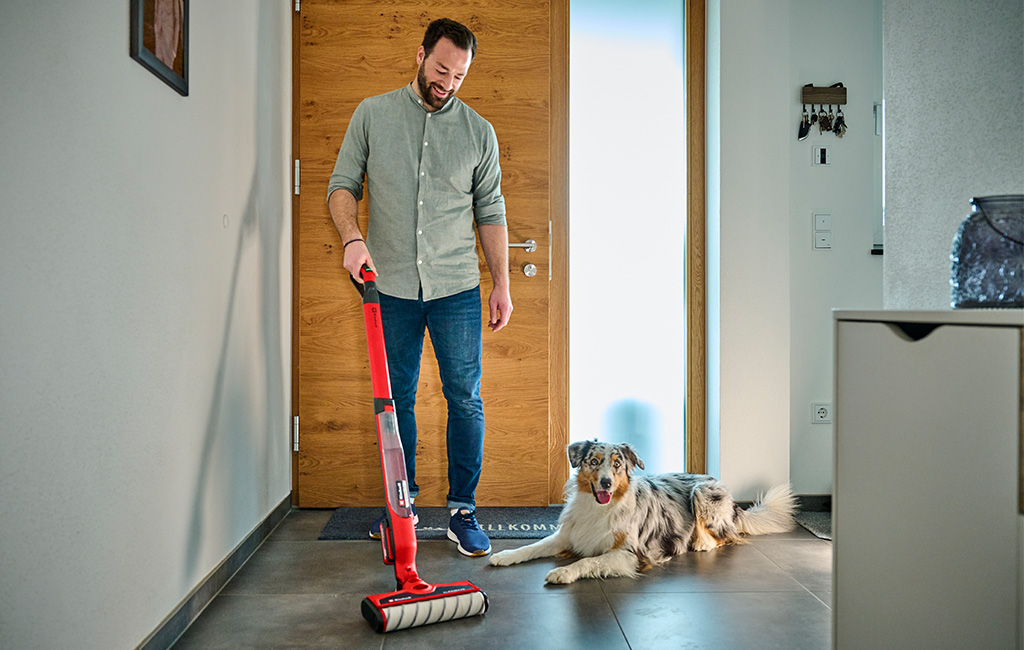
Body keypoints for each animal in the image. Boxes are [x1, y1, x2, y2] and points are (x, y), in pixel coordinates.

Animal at [487, 442, 798, 585]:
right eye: (593, 461)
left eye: (617, 464)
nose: (606, 483)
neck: (600, 508)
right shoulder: (567, 536)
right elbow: (533, 546)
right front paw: (505, 555)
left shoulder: (631, 554)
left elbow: (589, 561)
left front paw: (563, 571)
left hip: (702, 494)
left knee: (724, 537)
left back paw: (699, 542)